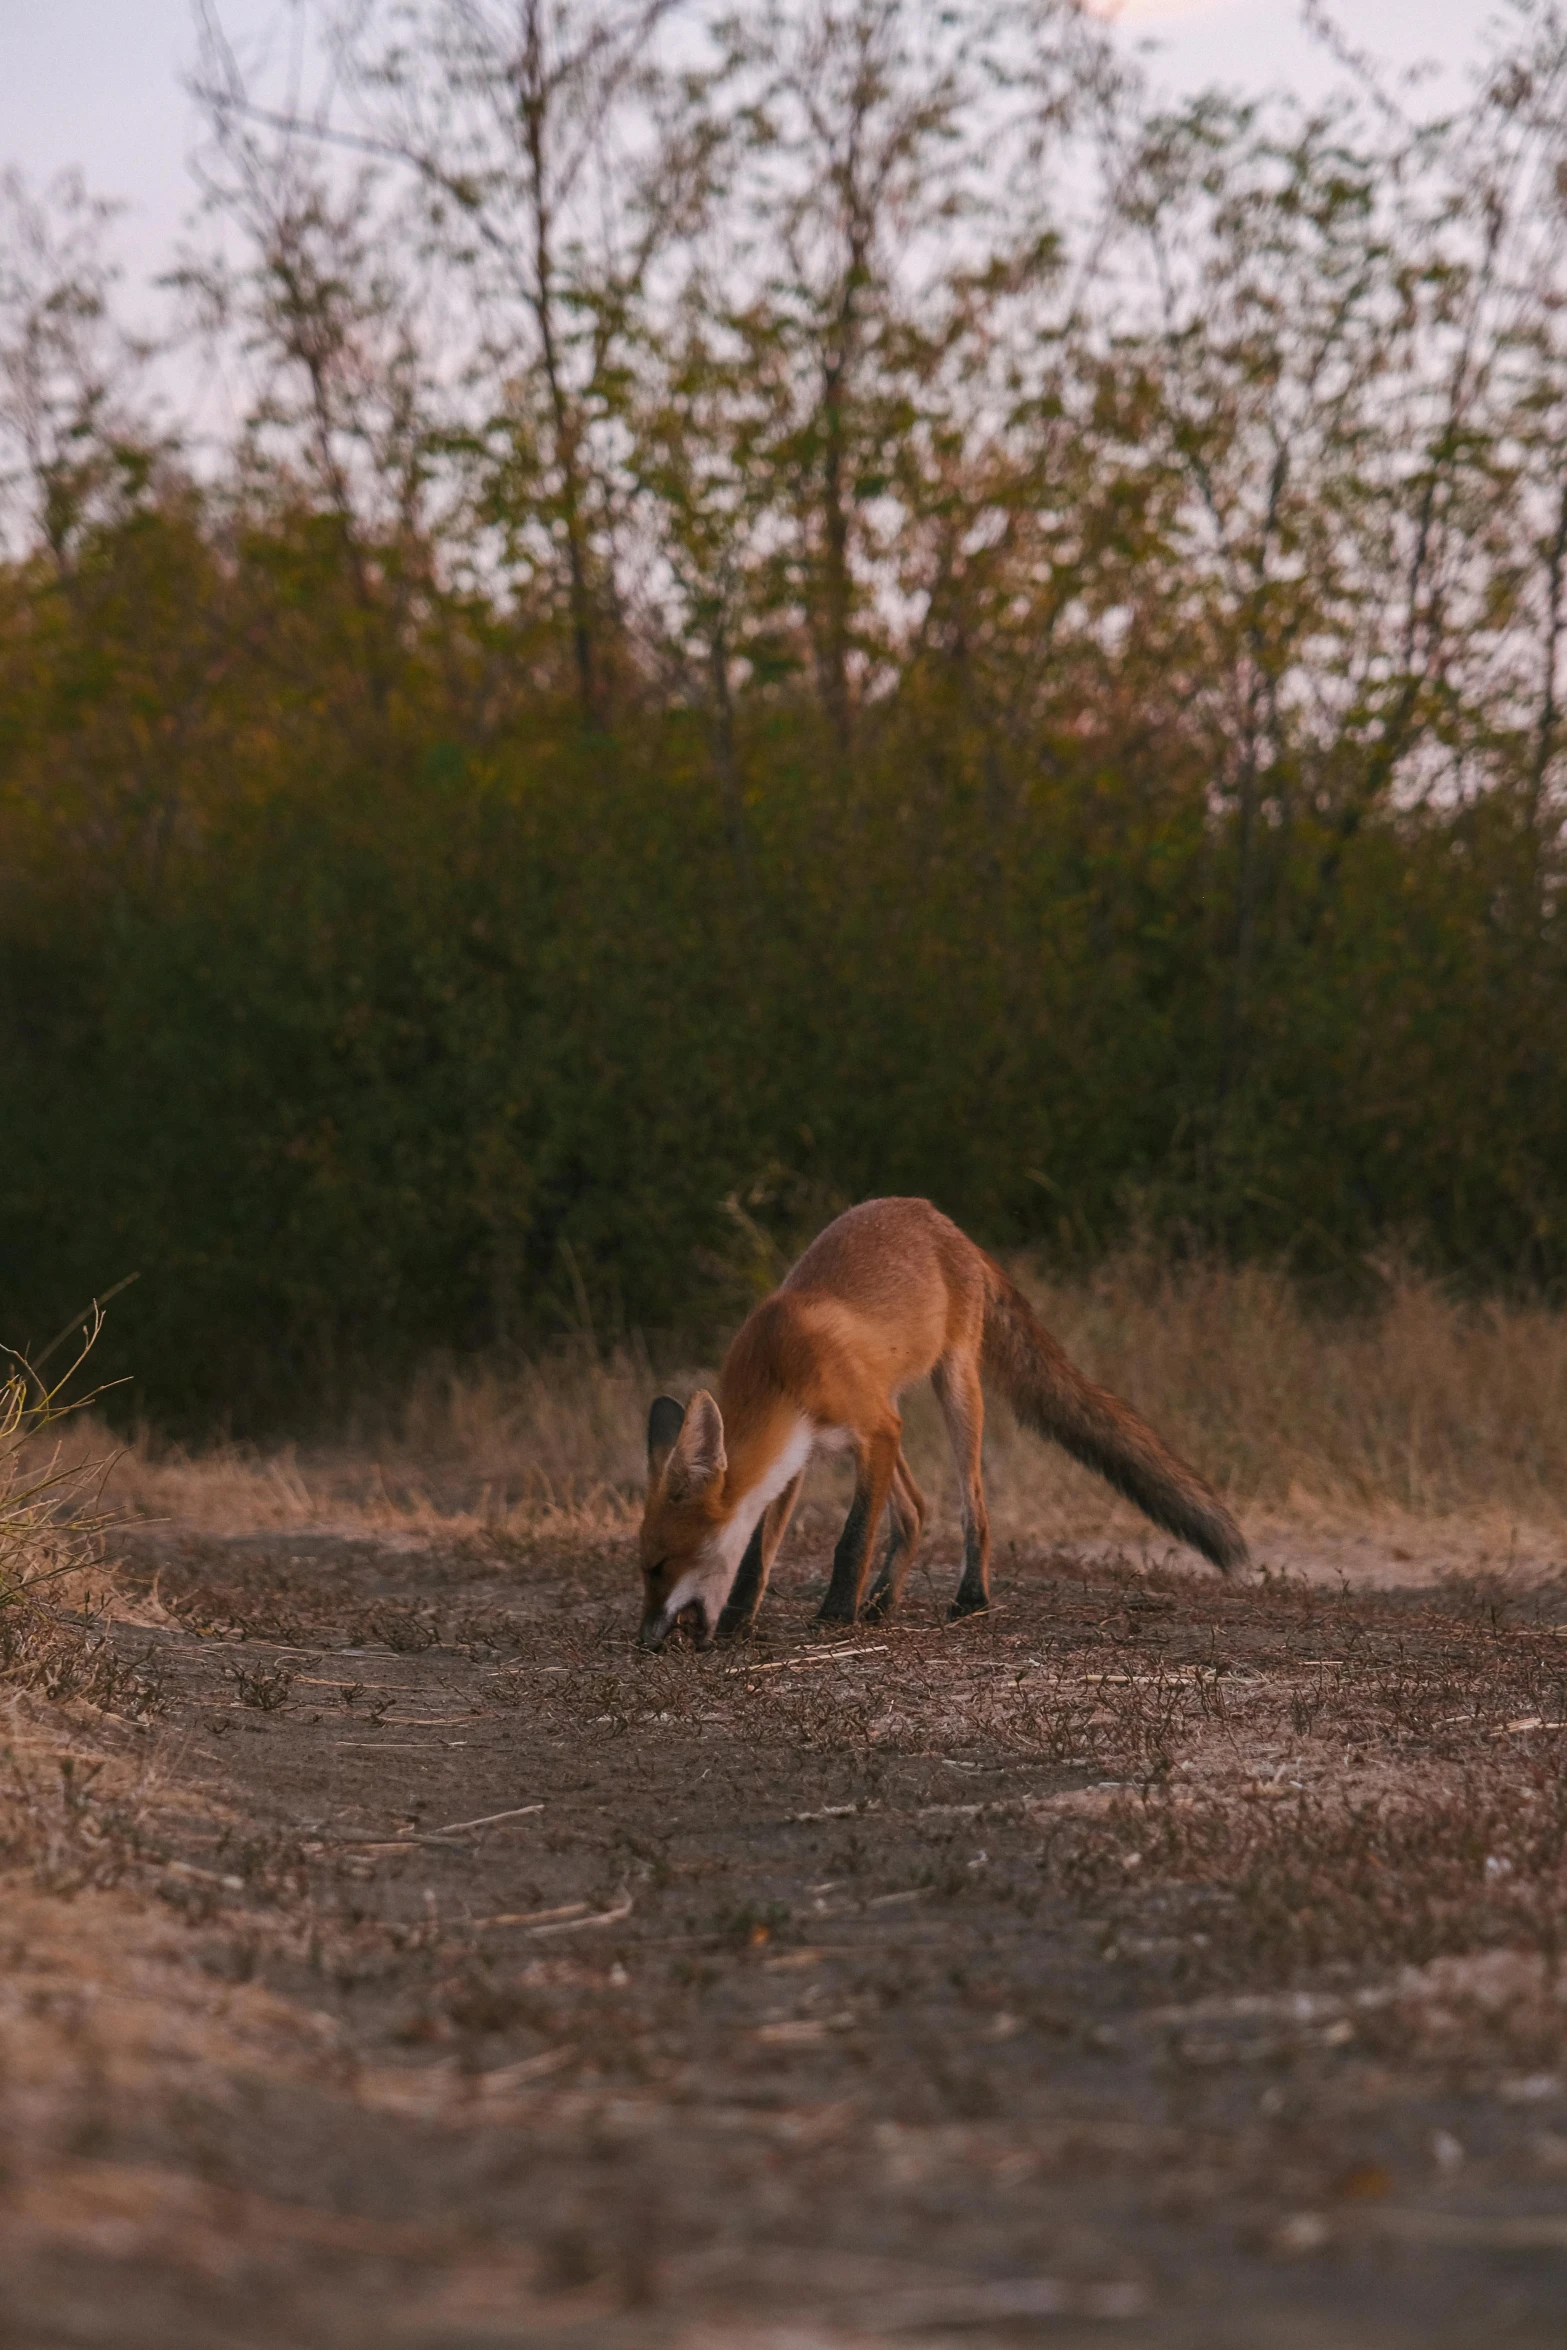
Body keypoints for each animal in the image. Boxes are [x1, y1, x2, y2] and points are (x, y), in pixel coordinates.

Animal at [634, 1203, 1240, 1644]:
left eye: (659, 1566)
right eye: (644, 1568)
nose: (644, 1641)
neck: (779, 1367)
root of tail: (940, 1218)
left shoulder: (871, 1429)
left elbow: (852, 1539)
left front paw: (834, 1615)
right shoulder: (801, 1453)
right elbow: (758, 1552)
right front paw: (739, 1622)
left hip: (953, 1389)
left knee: (973, 1511)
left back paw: (969, 1598)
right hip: (890, 1412)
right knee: (918, 1509)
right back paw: (882, 1602)